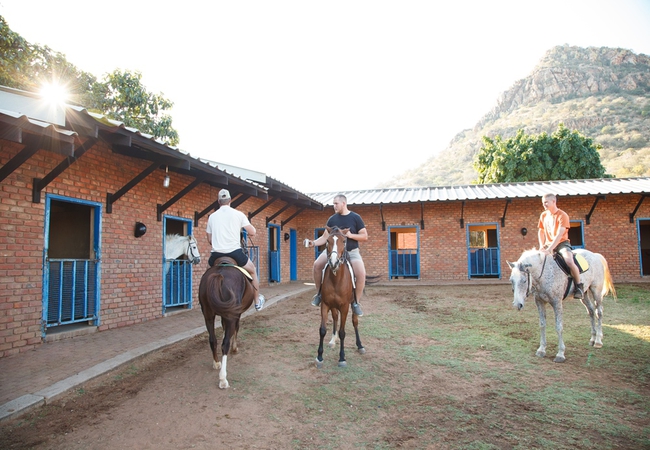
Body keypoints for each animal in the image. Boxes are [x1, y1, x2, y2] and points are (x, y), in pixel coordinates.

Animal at [198, 257, 256, 389]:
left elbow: (224, 329)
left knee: (212, 340)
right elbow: (235, 330)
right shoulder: (236, 314)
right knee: (224, 344)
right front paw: (235, 348)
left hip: (208, 315)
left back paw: (216, 363)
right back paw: (223, 379)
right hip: (230, 314)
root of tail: (219, 274)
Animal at [316, 226, 365, 368]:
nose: (334, 262)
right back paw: (333, 340)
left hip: (353, 304)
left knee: (355, 321)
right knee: (335, 318)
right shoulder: (325, 304)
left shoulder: (344, 307)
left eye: (344, 241)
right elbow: (322, 330)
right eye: (327, 241)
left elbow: (343, 332)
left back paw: (360, 345)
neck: (336, 279)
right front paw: (319, 357)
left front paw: (342, 358)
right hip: (333, 306)